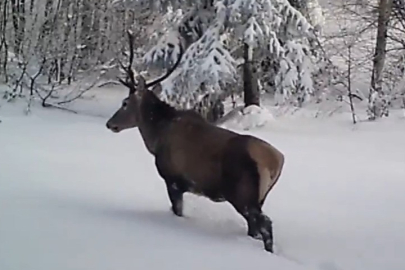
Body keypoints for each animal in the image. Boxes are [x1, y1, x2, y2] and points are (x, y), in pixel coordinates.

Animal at [105, 31, 286, 253]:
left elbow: (177, 210)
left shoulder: (173, 179)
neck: (155, 138)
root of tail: (277, 161)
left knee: (265, 224)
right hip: (259, 197)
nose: (110, 123)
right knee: (255, 228)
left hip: (243, 195)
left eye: (125, 103)